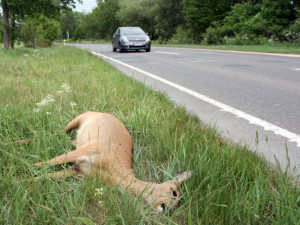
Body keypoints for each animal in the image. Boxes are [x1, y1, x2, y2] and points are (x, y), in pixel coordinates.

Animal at [32, 111, 192, 214]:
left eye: (178, 204)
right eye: (174, 192)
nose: (168, 211)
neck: (114, 171)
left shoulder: (79, 170)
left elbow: (45, 176)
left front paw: (25, 182)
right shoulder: (88, 150)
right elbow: (49, 162)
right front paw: (29, 168)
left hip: (75, 138)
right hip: (77, 120)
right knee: (56, 132)